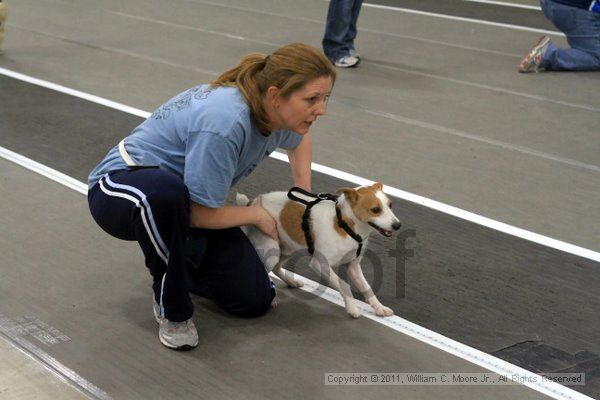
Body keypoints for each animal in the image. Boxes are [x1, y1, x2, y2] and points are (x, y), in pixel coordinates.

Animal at [237, 182, 400, 318]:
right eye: (375, 210)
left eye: (390, 205)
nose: (398, 225)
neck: (345, 225)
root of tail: (251, 203)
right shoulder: (320, 264)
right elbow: (344, 285)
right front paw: (352, 307)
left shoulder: (353, 267)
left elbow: (367, 288)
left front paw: (379, 307)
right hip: (271, 251)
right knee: (266, 270)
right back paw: (271, 299)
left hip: (288, 249)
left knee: (277, 268)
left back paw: (291, 281)